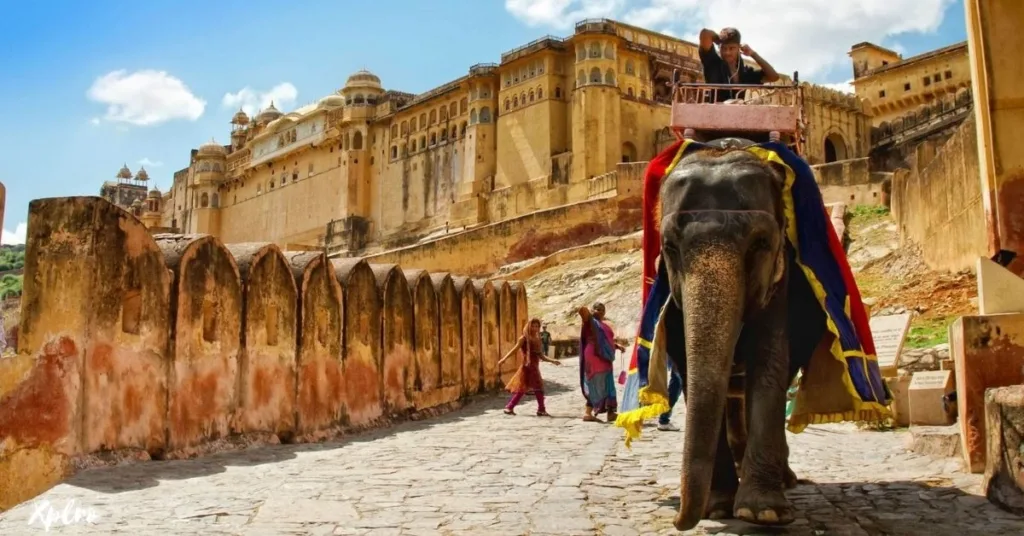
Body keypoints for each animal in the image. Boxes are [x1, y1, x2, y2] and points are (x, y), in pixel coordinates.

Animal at [655, 139, 831, 532]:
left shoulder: (782, 281)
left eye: (760, 244)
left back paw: (784, 480)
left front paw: (763, 513)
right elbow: (689, 369)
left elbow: (770, 361)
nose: (675, 518)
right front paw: (717, 508)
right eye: (670, 246)